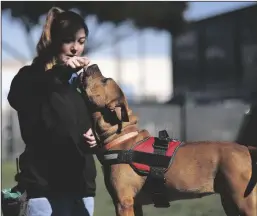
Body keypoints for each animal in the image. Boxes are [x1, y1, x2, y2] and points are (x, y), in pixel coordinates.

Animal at [80, 64, 256, 216]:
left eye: (104, 80)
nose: (93, 64)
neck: (121, 135)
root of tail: (247, 149)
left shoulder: (124, 203)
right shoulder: (135, 205)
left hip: (245, 203)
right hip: (229, 203)